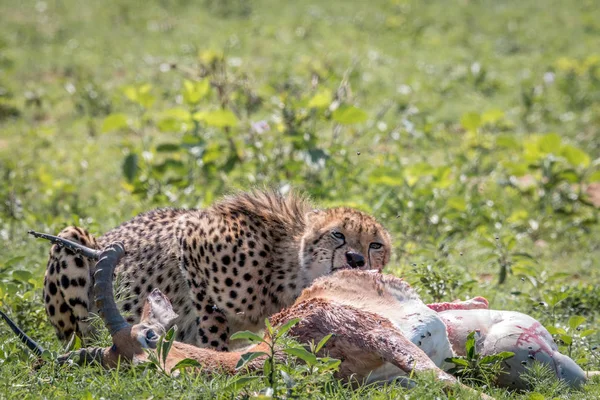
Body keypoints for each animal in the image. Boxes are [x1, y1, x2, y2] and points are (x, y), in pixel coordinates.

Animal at [41, 191, 390, 350]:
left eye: (376, 245)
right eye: (338, 234)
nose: (356, 259)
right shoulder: (189, 237)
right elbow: (211, 317)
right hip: (71, 239)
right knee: (77, 335)